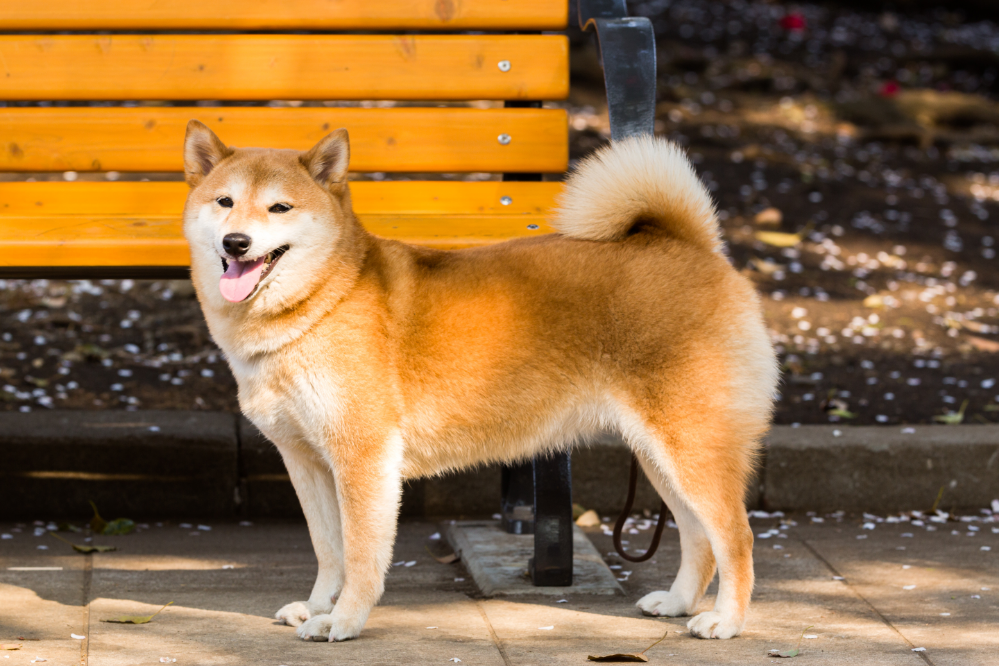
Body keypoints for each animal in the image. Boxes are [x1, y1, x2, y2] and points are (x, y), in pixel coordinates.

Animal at [186, 118, 780, 640]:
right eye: (225, 202)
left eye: (280, 207)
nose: (237, 242)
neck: (322, 301)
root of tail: (691, 246)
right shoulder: (306, 461)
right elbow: (328, 550)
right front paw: (316, 608)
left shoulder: (363, 459)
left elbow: (359, 555)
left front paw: (343, 620)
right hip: (660, 457)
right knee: (699, 537)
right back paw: (679, 603)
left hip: (692, 449)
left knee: (737, 537)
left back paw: (726, 622)